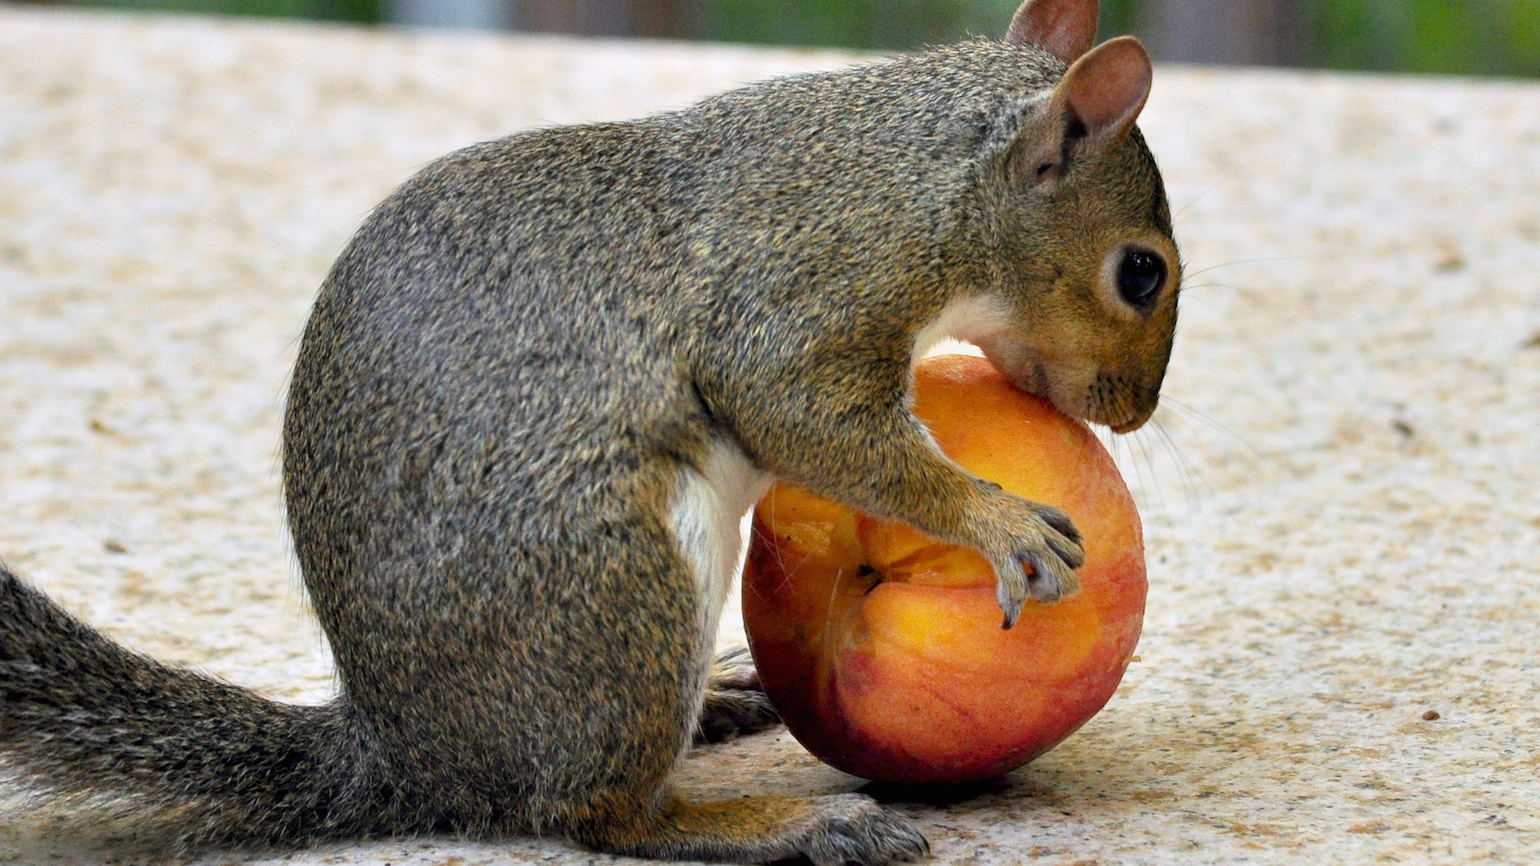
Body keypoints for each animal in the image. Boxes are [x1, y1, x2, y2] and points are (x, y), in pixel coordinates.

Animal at [0, 0, 1180, 863]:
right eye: (1140, 271)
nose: (1136, 409)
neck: (922, 184)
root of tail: (409, 754)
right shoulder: (796, 304)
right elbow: (812, 420)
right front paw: (996, 520)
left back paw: (721, 701)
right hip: (621, 582)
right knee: (596, 815)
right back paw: (783, 822)